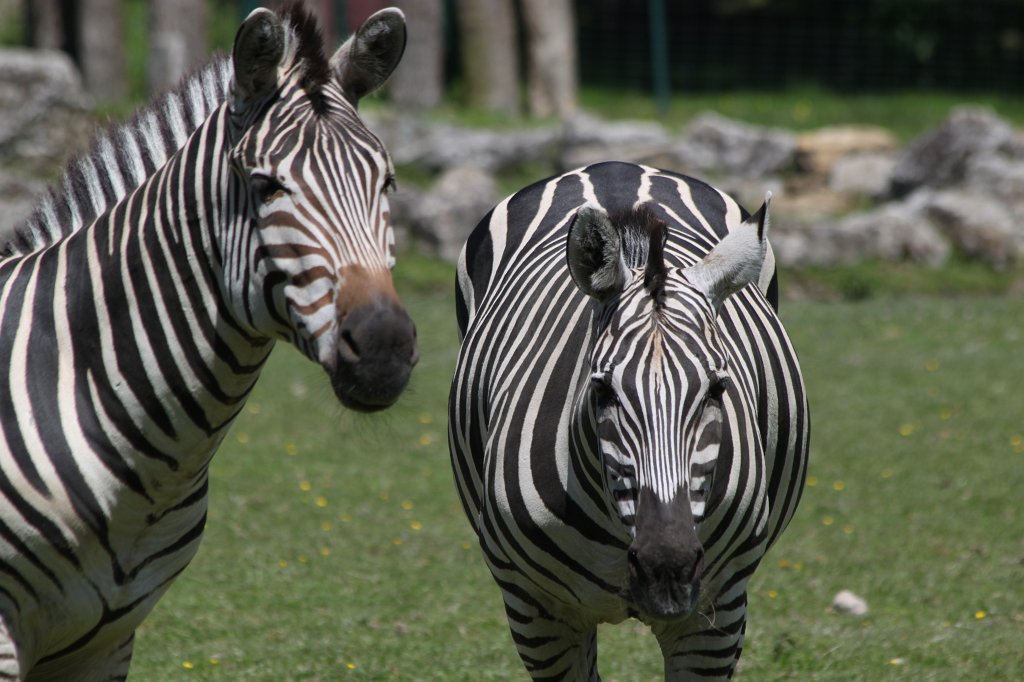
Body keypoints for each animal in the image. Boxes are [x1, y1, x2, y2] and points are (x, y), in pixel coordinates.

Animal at [448, 161, 809, 680]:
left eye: (717, 388)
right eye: (602, 390)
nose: (666, 569)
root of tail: (616, 167)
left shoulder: (715, 613)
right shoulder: (537, 612)